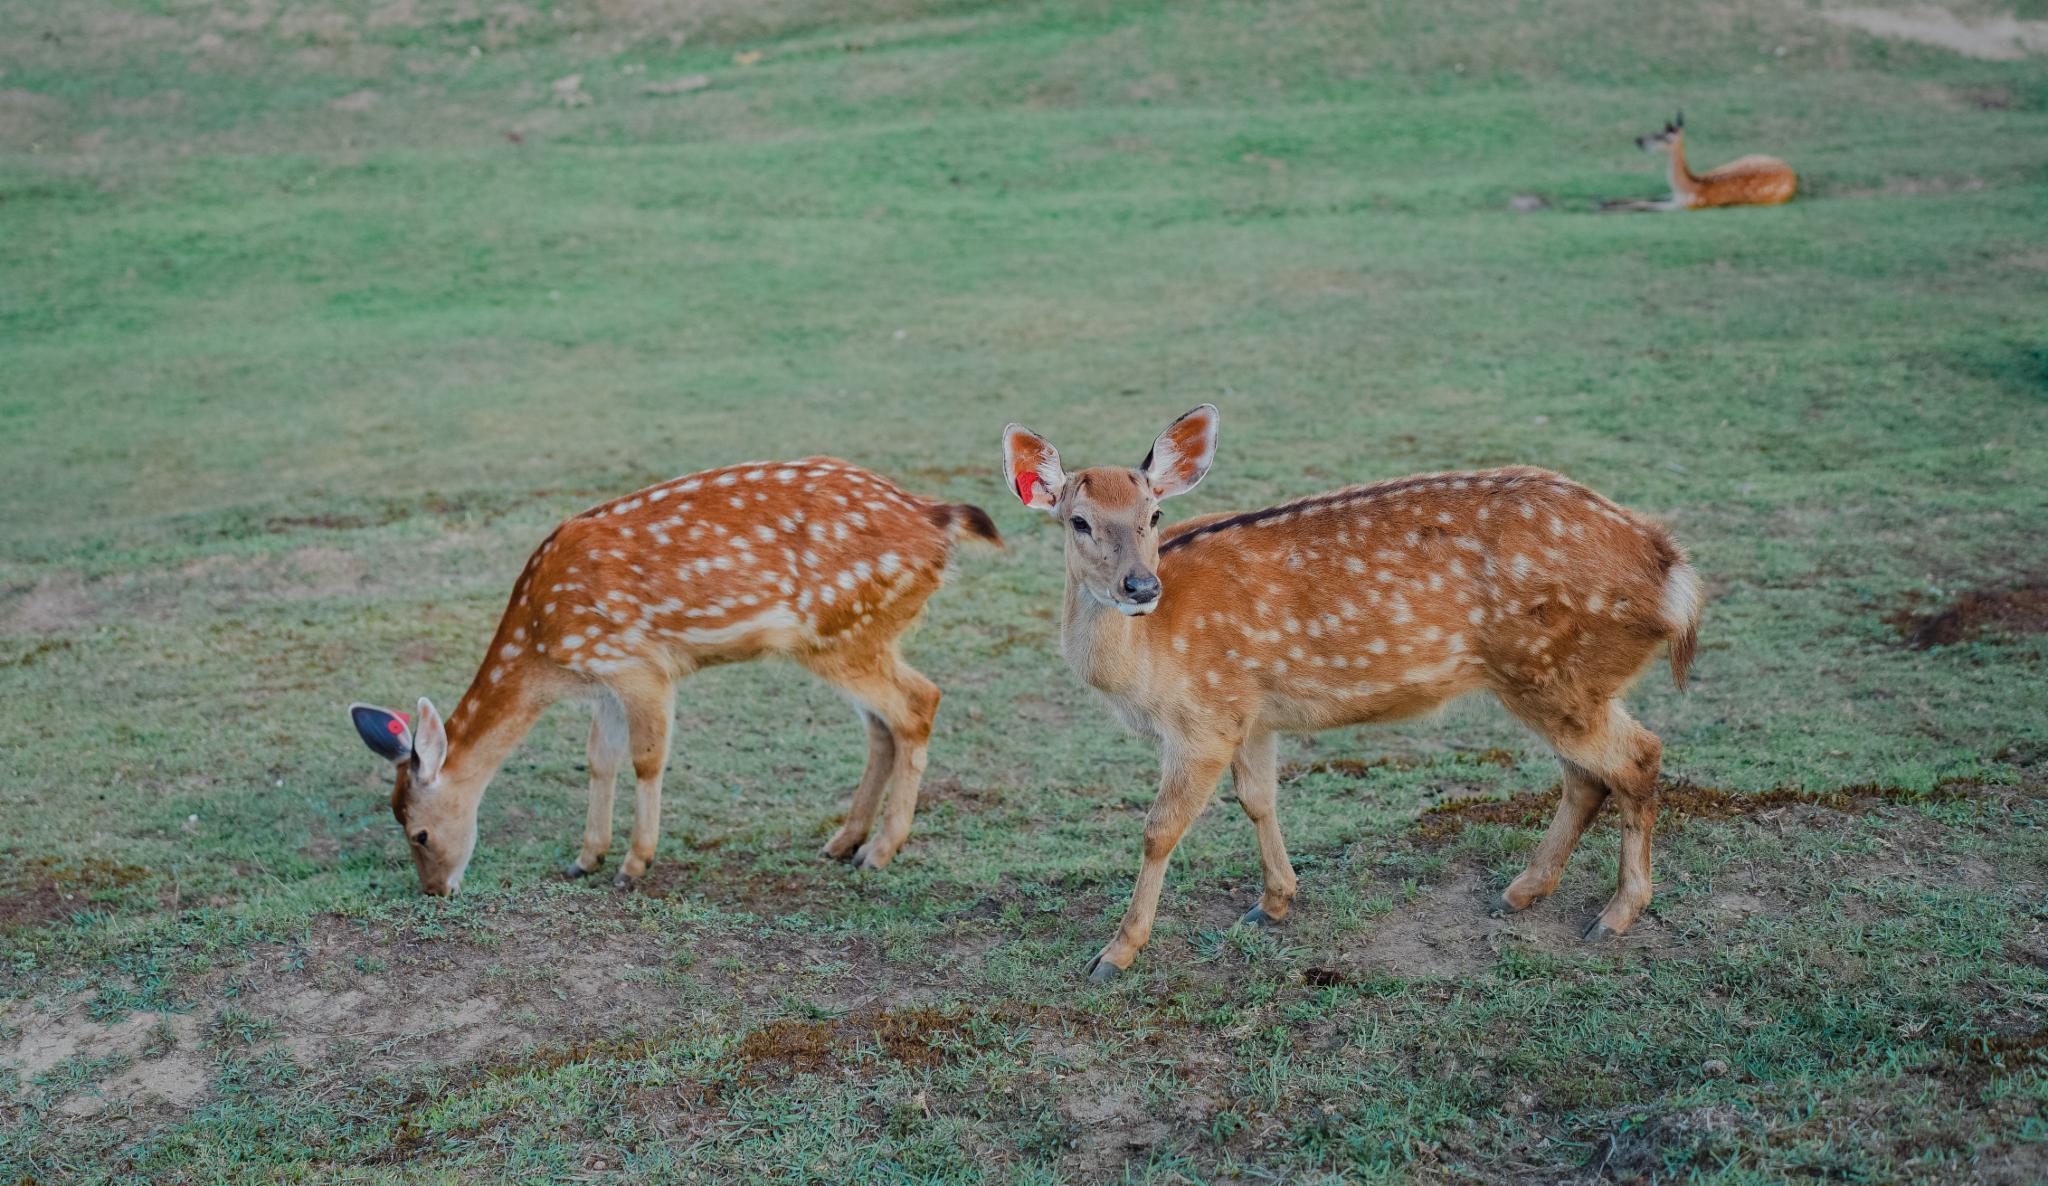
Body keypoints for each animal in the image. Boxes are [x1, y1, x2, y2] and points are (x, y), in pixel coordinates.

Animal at [348, 458, 1003, 897]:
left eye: (419, 834)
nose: (435, 891)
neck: (542, 644)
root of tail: (940, 519)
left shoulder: (639, 664)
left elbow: (646, 759)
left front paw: (634, 864)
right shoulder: (603, 681)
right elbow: (599, 759)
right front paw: (586, 857)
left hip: (844, 631)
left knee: (919, 702)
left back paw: (880, 852)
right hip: (858, 635)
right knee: (882, 724)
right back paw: (844, 841)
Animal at [999, 407, 1703, 983]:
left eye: (1154, 515)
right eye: (1079, 521)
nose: (1140, 586)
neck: (1145, 667)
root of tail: (1673, 573)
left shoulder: (1204, 719)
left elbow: (1159, 830)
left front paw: (1114, 954)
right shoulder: (1250, 713)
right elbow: (1258, 800)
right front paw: (1274, 903)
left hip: (1553, 672)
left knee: (1638, 756)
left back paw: (1615, 914)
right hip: (1559, 680)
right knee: (1587, 775)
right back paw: (1522, 891)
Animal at [1605, 109, 1802, 210]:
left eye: (1660, 136)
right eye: (1657, 131)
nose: (1638, 140)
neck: (1687, 188)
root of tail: (1792, 173)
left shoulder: (1682, 206)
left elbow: (1644, 204)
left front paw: (1605, 208)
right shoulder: (1672, 196)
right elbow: (1642, 198)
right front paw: (1605, 201)